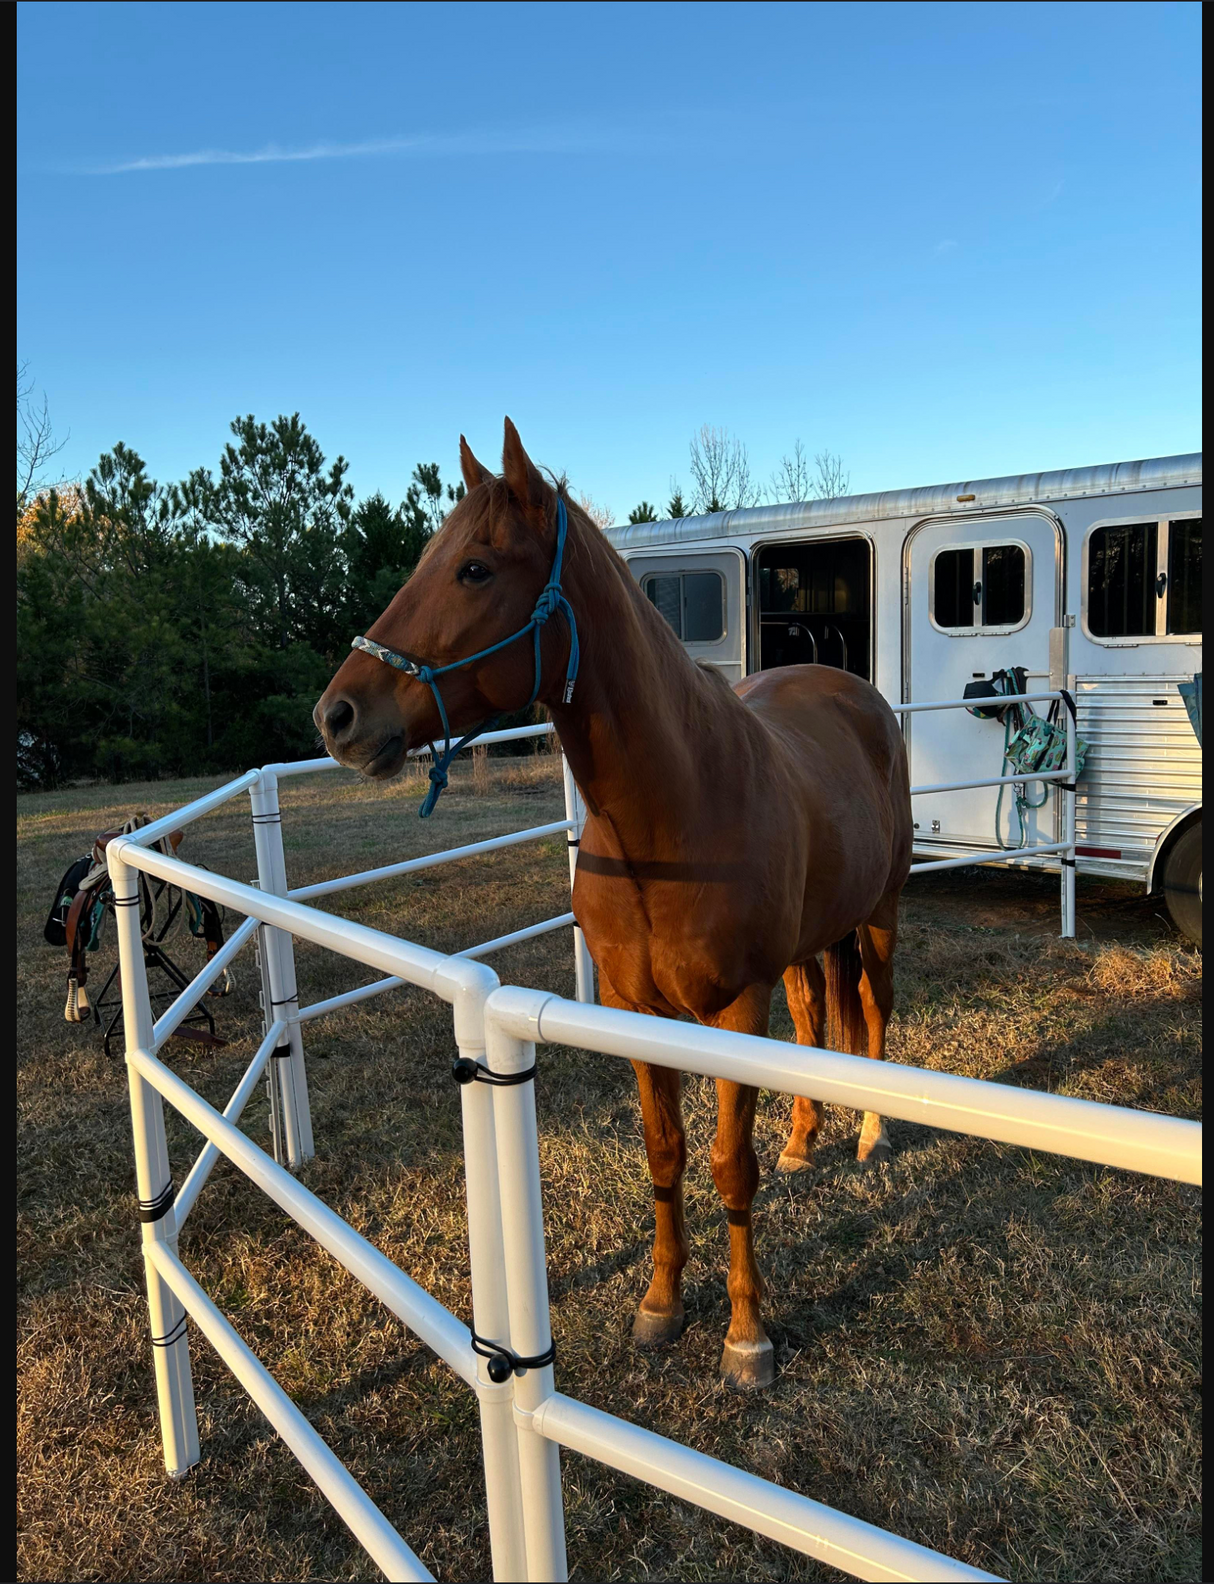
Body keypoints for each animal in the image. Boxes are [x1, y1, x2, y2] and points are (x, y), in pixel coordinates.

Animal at [315, 419, 913, 1389]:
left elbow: (729, 1167)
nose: (337, 717)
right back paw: (805, 1136)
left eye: (475, 568)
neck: (671, 816)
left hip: (883, 913)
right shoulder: (637, 1011)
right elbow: (666, 1155)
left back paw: (868, 1133)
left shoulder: (734, 1012)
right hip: (805, 947)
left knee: (873, 1008)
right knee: (814, 1014)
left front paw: (747, 1336)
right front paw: (661, 1304)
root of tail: (854, 693)